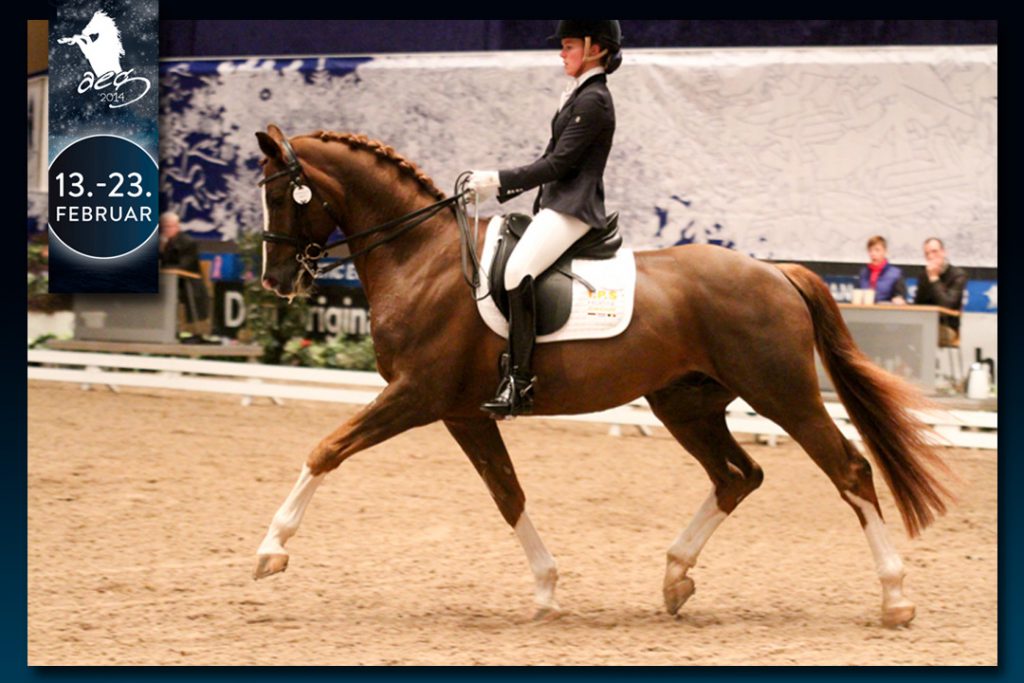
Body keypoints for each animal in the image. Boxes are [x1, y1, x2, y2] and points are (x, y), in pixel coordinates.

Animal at [252, 124, 954, 627]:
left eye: (283, 195)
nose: (275, 281)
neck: (421, 258)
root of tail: (775, 270)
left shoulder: (416, 396)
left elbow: (327, 449)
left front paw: (271, 550)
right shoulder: (461, 412)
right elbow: (507, 493)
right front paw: (546, 590)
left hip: (783, 394)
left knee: (849, 470)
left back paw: (895, 598)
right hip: (686, 404)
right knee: (738, 476)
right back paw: (675, 577)